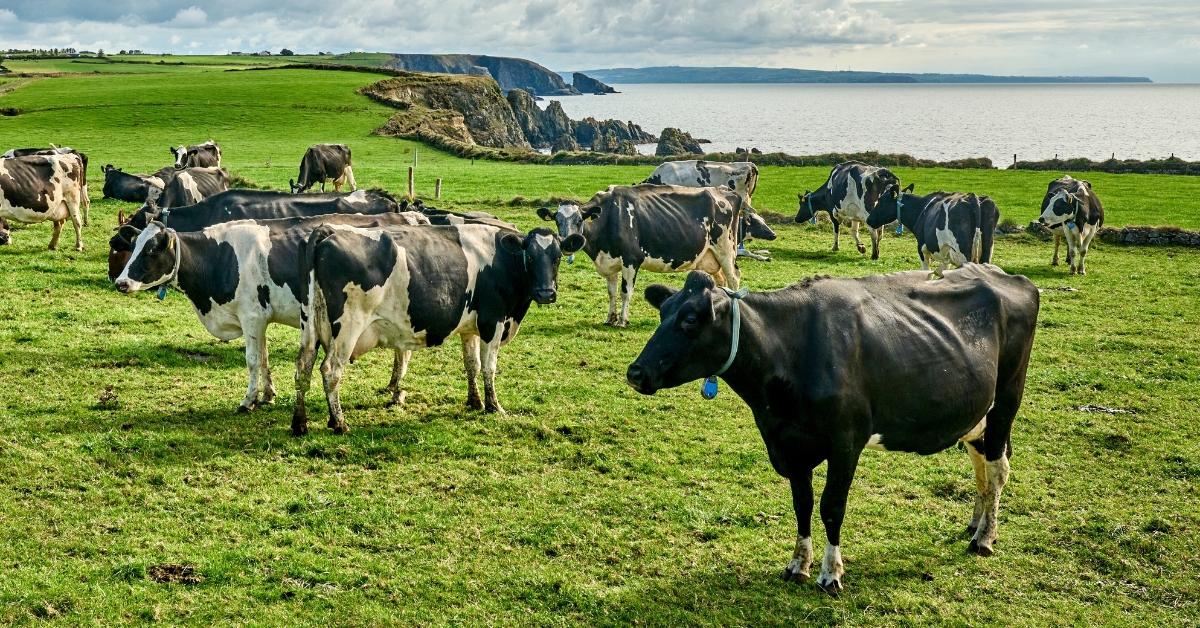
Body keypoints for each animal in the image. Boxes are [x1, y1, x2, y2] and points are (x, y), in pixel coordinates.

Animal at [112, 212, 429, 412]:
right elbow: (264, 358)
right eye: (134, 245)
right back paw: (394, 388)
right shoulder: (259, 320)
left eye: (151, 251)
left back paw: (396, 390)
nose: (121, 283)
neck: (221, 257)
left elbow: (253, 360)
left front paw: (248, 401)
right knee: (403, 351)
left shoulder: (251, 317)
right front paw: (267, 395)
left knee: (404, 352)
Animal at [293, 224, 584, 435]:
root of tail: (329, 231)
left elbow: (472, 365)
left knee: (303, 367)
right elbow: (489, 368)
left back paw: (300, 423)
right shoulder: (493, 321)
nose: (546, 293)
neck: (504, 261)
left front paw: (474, 402)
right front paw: (493, 406)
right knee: (331, 371)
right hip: (348, 326)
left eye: (558, 257)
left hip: (310, 325)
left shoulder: (470, 328)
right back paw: (339, 423)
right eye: (530, 256)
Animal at [535, 184, 743, 327]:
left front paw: (622, 321)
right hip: (711, 258)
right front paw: (610, 318)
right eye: (557, 220)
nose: (566, 243)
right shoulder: (609, 261)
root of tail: (724, 190)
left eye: (579, 220)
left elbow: (625, 292)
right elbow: (611, 292)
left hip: (726, 249)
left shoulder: (631, 259)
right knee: (721, 281)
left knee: (734, 278)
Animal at [625, 265, 1039, 594]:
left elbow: (831, 507)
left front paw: (831, 573)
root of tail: (1004, 274)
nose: (635, 372)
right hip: (975, 414)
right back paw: (976, 524)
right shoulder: (787, 444)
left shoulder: (846, 441)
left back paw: (985, 537)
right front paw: (798, 564)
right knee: (982, 467)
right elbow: (803, 505)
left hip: (1006, 400)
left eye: (690, 319)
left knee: (998, 470)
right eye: (662, 312)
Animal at [866, 184, 999, 277]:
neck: (921, 209)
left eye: (881, 201)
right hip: (986, 251)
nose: (868, 219)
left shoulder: (922, 250)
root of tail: (973, 197)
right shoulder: (946, 255)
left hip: (963, 254)